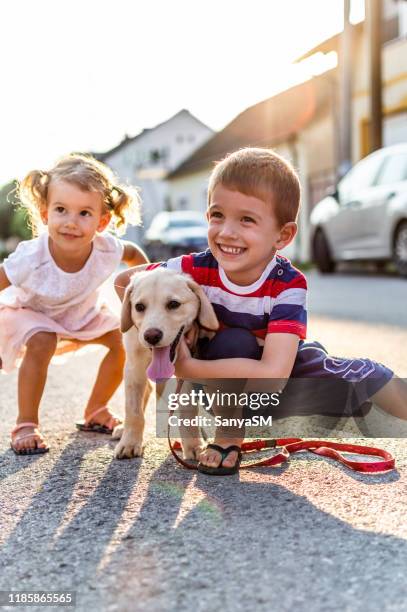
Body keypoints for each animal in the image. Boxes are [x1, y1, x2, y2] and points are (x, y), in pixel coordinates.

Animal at [113, 266, 218, 460]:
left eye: (173, 304)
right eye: (139, 307)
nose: (151, 336)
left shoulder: (186, 372)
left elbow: (187, 411)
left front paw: (194, 446)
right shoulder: (134, 367)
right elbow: (133, 410)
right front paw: (129, 443)